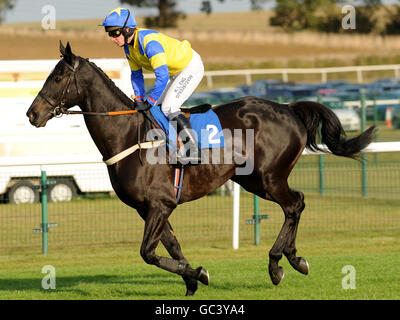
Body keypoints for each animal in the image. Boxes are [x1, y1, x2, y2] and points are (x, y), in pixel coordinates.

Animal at [26, 42, 374, 296]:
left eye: (57, 77)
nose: (32, 114)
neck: (128, 134)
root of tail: (289, 108)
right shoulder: (150, 208)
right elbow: (172, 247)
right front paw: (192, 278)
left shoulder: (159, 204)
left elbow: (148, 253)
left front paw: (199, 274)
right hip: (252, 180)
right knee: (296, 203)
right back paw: (293, 257)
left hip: (269, 177)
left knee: (294, 204)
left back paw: (280, 264)